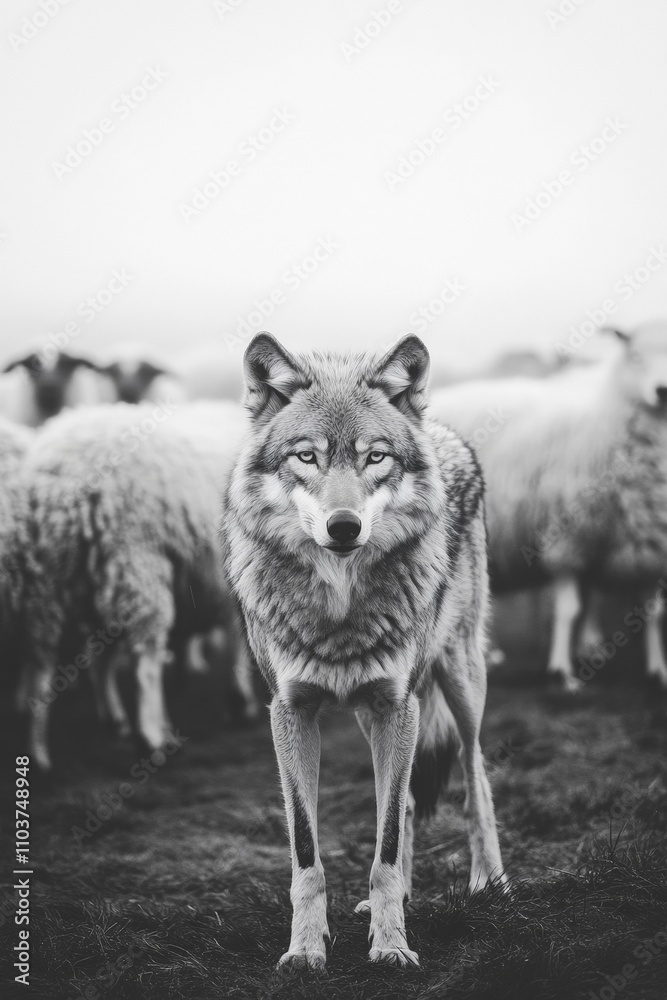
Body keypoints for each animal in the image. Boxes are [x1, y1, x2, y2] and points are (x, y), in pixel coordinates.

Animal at [20, 398, 258, 770]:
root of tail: (67, 482)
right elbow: (239, 643)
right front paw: (241, 702)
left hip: (47, 585)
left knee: (47, 670)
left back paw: (43, 751)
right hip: (135, 564)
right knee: (143, 665)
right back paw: (152, 736)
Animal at [220, 332, 505, 969]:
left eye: (376, 457)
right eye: (306, 457)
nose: (344, 526)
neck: (340, 610)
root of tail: (442, 429)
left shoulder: (397, 705)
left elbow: (386, 844)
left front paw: (391, 945)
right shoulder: (292, 711)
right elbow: (311, 851)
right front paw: (306, 950)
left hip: (459, 684)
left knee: (473, 774)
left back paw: (491, 882)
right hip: (383, 715)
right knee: (406, 803)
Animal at [429, 321, 667, 692]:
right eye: (637, 356)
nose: (662, 391)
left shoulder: (649, 545)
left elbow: (652, 613)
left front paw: (658, 671)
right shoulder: (568, 537)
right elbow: (569, 609)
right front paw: (562, 671)